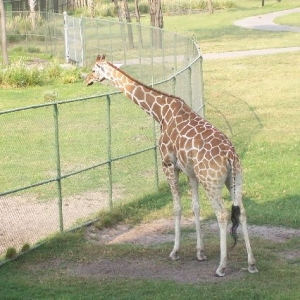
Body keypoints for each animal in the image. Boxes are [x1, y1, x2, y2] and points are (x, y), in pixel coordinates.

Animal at [85, 55, 258, 278]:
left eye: (93, 69)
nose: (86, 80)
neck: (160, 112)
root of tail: (230, 156)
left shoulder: (168, 164)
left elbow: (176, 207)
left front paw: (175, 252)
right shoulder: (190, 172)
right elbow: (195, 207)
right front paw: (200, 252)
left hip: (211, 182)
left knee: (222, 214)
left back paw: (221, 267)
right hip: (234, 179)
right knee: (242, 211)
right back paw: (251, 263)